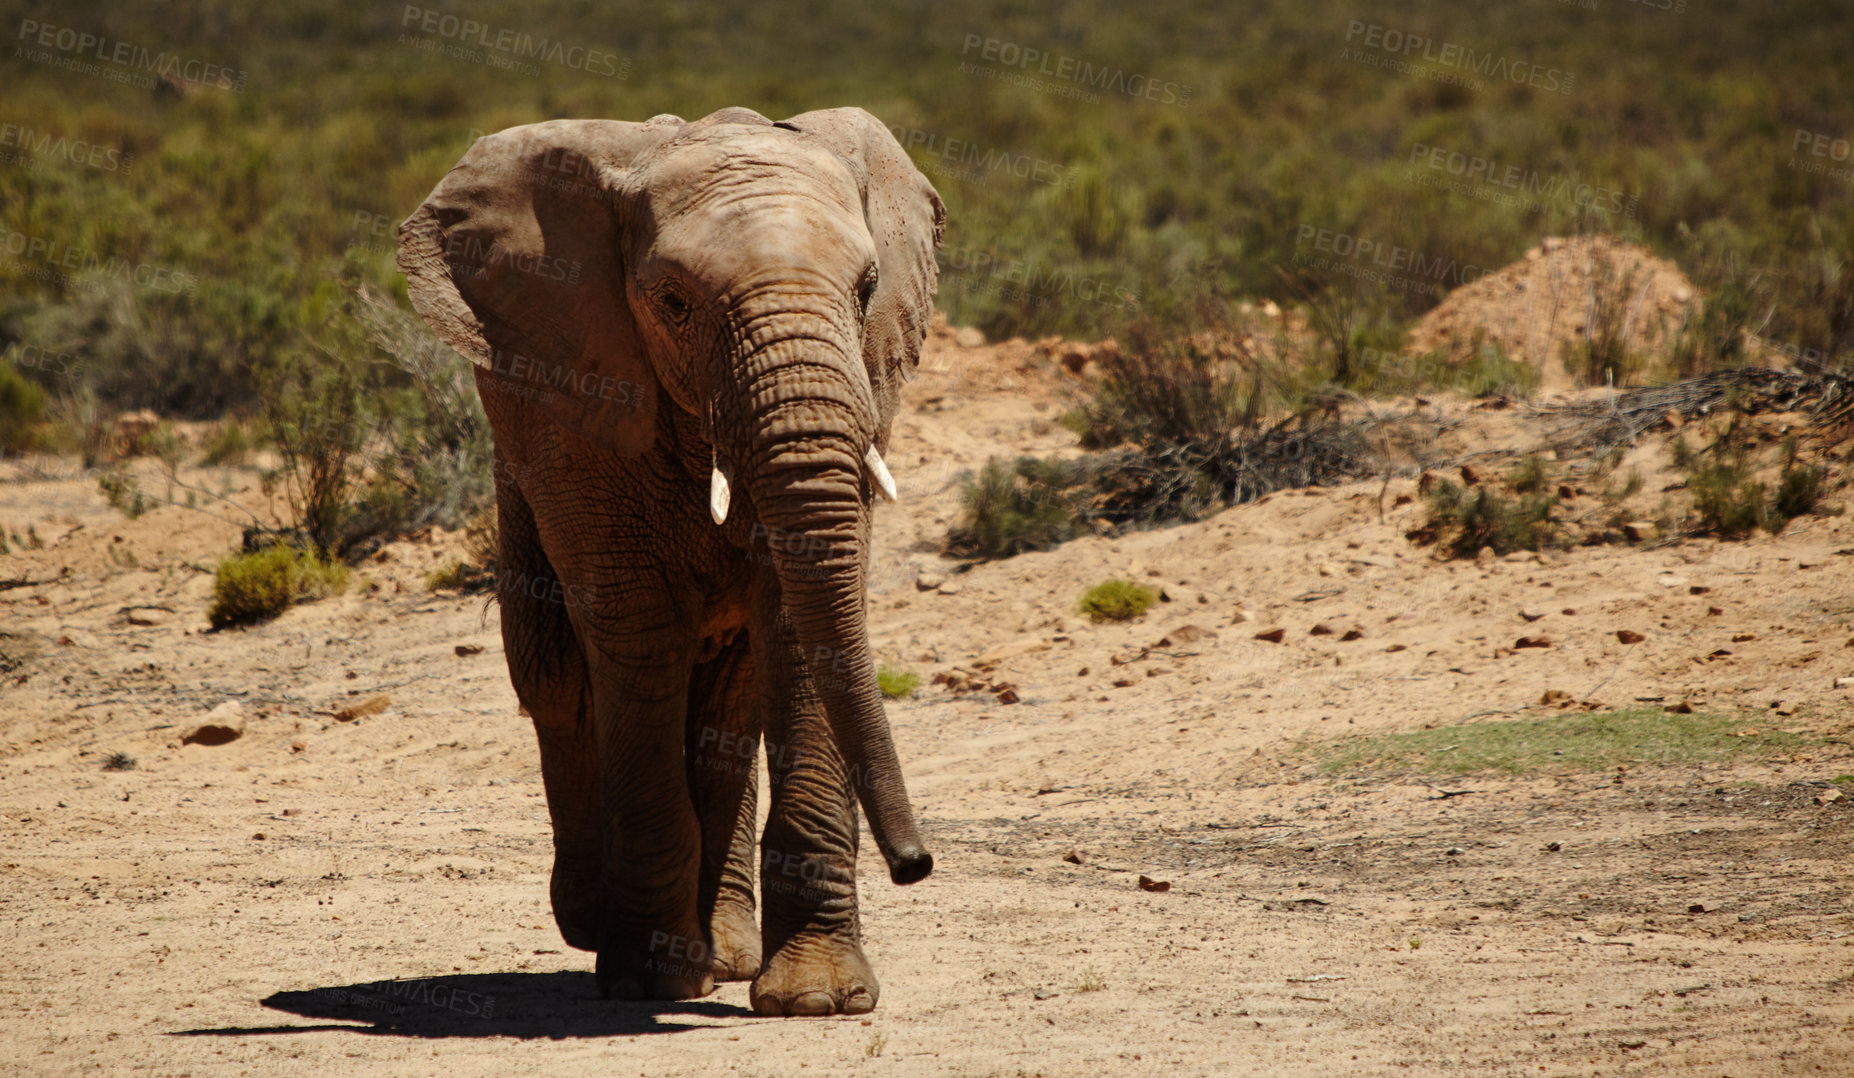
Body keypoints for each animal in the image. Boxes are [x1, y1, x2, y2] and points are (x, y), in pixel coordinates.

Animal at [393, 105, 941, 1016]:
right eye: (674, 304)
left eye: (867, 289)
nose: (917, 865)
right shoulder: (577, 398)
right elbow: (636, 628)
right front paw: (646, 979)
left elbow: (796, 628)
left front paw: (819, 1000)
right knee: (556, 673)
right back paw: (599, 924)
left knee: (728, 694)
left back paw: (723, 953)